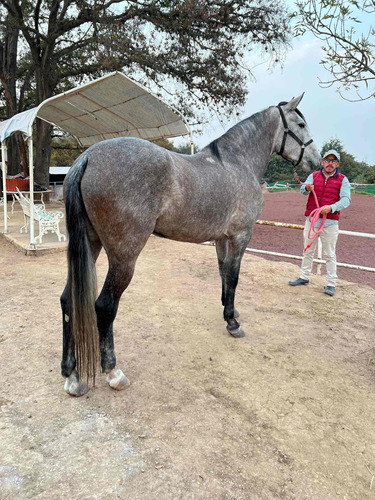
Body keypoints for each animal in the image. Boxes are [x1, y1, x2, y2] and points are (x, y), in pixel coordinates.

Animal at [61, 95, 320, 396]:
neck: (237, 164)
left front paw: (229, 310)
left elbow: (224, 275)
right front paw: (233, 323)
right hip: (124, 256)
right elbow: (234, 277)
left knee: (68, 300)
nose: (315, 161)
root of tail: (88, 157)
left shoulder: (222, 239)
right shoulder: (241, 236)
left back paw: (72, 375)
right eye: (300, 124)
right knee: (104, 306)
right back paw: (113, 372)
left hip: (90, 245)